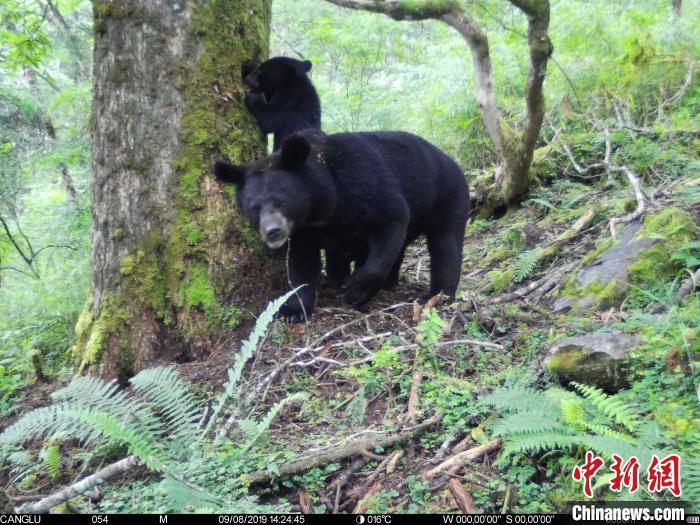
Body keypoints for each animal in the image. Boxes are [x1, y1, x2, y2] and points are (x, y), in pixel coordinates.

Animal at [213, 129, 470, 322]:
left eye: (281, 201)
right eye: (254, 208)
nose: (273, 232)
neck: (321, 208)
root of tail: (450, 160)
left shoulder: (364, 186)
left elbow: (392, 219)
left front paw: (356, 290)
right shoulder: (304, 231)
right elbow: (301, 263)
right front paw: (293, 310)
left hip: (447, 195)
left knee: (445, 245)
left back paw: (436, 296)